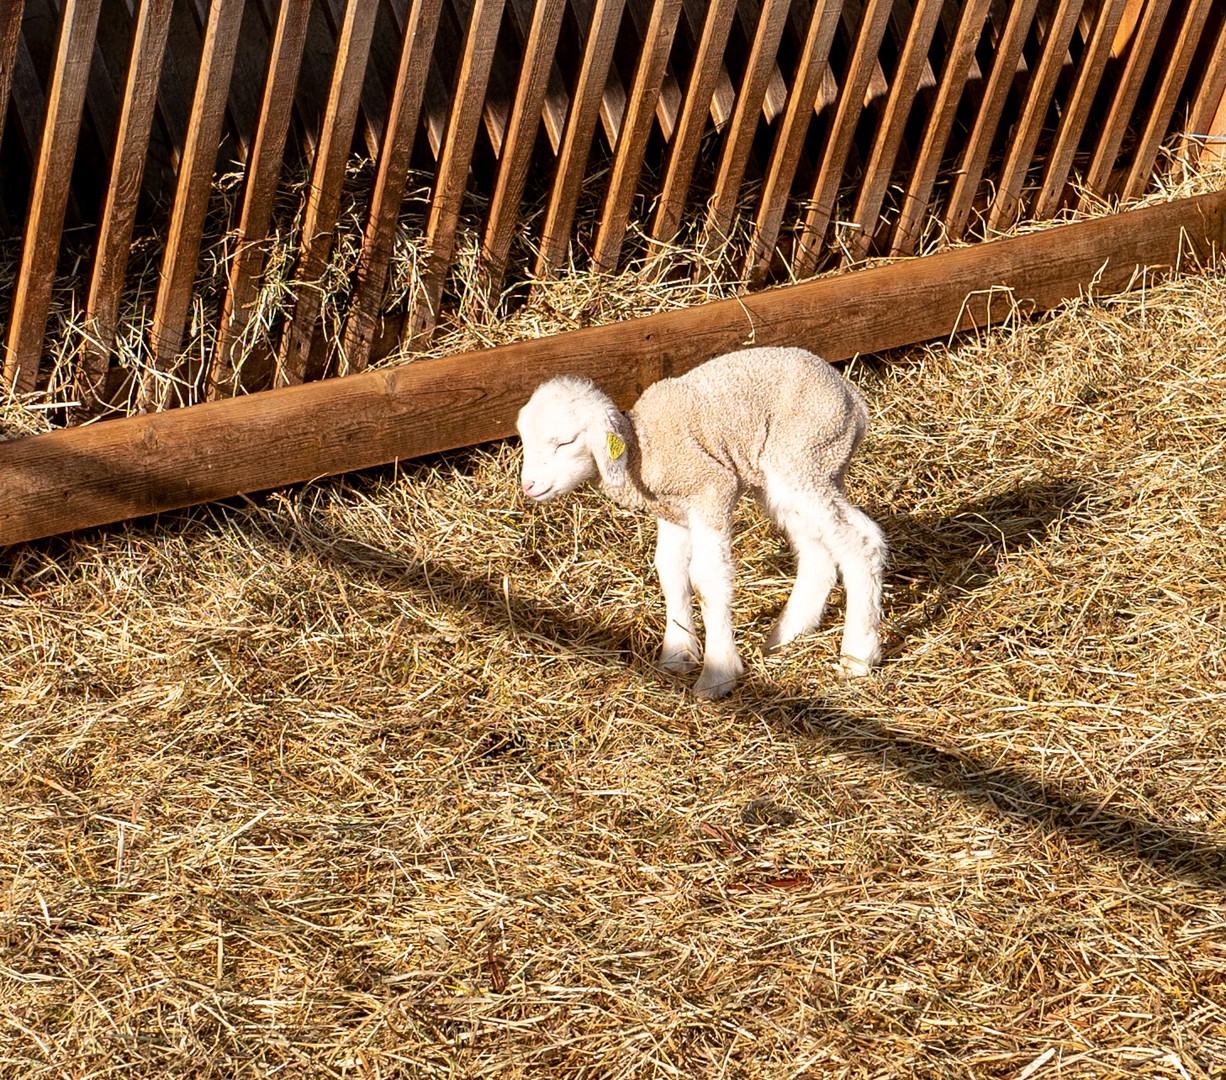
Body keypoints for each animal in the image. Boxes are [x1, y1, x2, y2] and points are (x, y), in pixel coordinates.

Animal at [512, 345, 887, 701]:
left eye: (565, 441)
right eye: (524, 439)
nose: (528, 485)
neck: (641, 449)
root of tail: (853, 399)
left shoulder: (711, 490)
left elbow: (707, 579)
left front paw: (717, 675)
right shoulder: (673, 512)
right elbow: (670, 571)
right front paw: (676, 655)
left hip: (804, 456)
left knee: (859, 541)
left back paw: (858, 654)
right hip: (796, 475)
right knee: (819, 550)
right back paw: (786, 636)